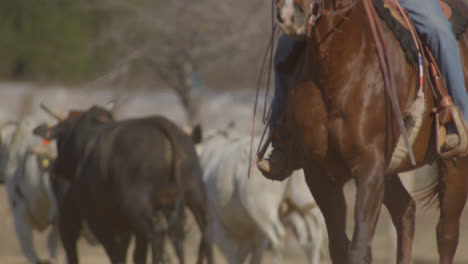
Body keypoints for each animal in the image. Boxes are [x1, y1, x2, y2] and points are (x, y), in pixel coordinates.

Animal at [33, 105, 213, 264]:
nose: (57, 168)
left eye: (61, 137)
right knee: (198, 231)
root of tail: (159, 123)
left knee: (157, 233)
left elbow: (115, 254)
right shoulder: (126, 228)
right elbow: (136, 255)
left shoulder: (94, 220)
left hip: (136, 207)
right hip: (194, 196)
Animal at [198, 130, 326, 264]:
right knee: (315, 237)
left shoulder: (217, 228)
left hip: (262, 209)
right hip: (304, 204)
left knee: (278, 237)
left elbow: (234, 257)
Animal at [272, 0, 468, 264]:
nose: (291, 15)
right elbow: (339, 247)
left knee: (447, 233)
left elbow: (359, 248)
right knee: (405, 210)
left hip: (455, 166)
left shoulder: (369, 167)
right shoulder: (320, 173)